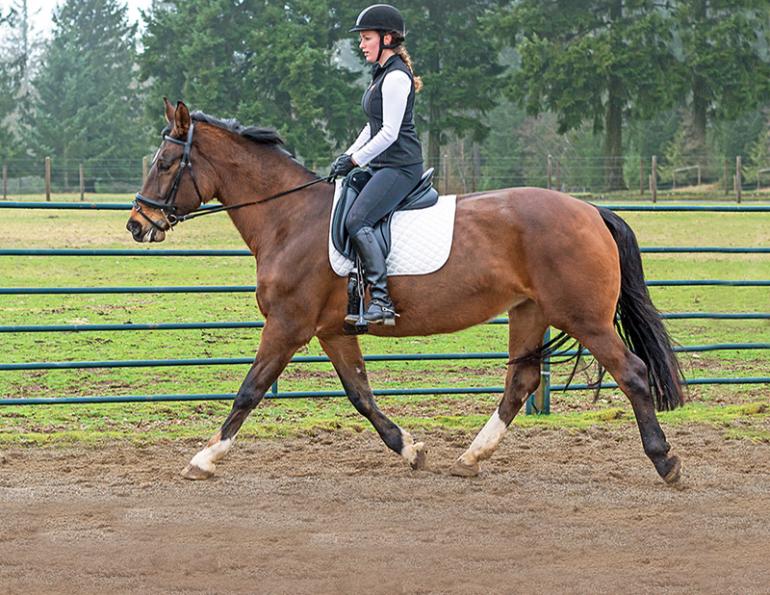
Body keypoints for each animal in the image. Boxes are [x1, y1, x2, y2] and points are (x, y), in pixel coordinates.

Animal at [127, 99, 684, 484]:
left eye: (163, 163)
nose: (137, 224)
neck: (290, 219)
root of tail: (590, 209)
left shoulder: (287, 326)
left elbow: (250, 389)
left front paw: (203, 458)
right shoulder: (333, 331)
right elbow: (361, 395)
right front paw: (410, 448)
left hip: (582, 316)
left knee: (632, 373)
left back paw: (665, 462)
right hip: (530, 311)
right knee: (521, 382)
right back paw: (470, 457)